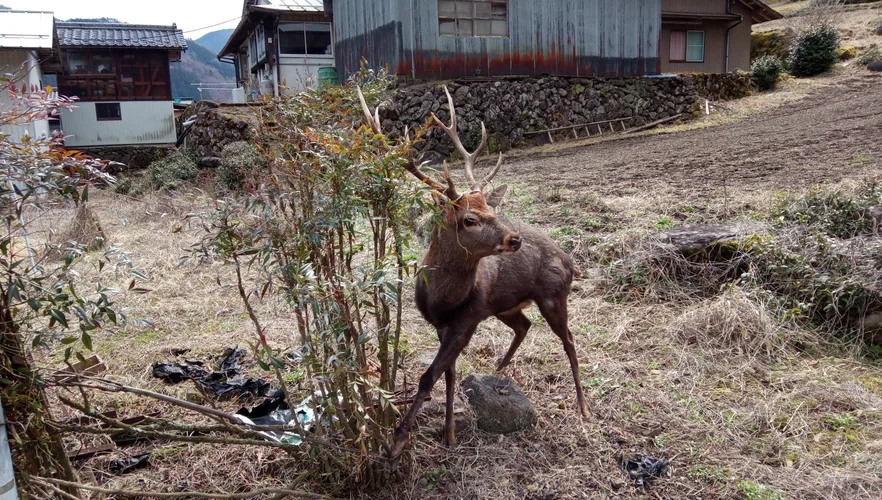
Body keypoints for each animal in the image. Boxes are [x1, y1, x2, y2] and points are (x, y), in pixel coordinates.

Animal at [354, 84, 588, 458]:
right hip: (505, 306)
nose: (514, 239)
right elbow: (448, 374)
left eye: (492, 209)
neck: (443, 300)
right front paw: (448, 432)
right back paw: (499, 368)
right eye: (470, 219)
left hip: (554, 295)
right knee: (524, 325)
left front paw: (398, 440)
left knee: (568, 339)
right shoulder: (441, 324)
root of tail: (570, 261)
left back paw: (582, 405)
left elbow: (429, 376)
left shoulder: (468, 319)